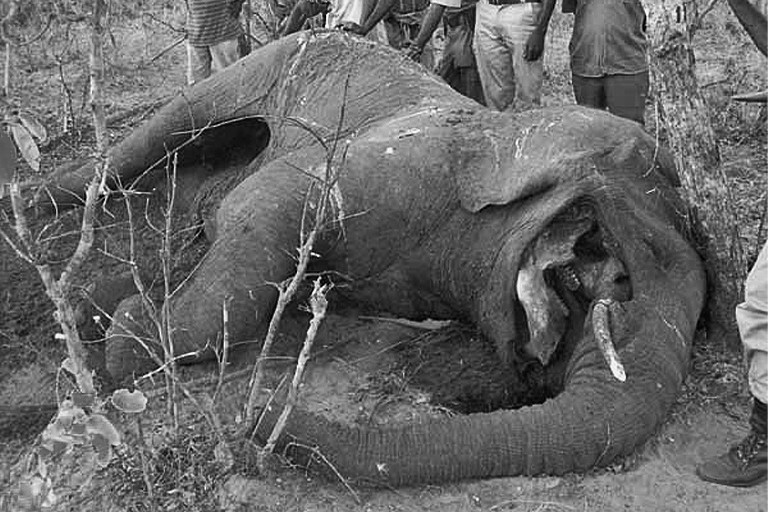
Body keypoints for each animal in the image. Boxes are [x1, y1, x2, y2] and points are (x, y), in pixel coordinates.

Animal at [41, 31, 706, 485]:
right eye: (609, 259)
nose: (255, 418)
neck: (498, 131)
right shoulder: (394, 163)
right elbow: (260, 211)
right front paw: (122, 322)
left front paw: (107, 308)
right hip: (269, 59)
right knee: (153, 139)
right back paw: (34, 206)